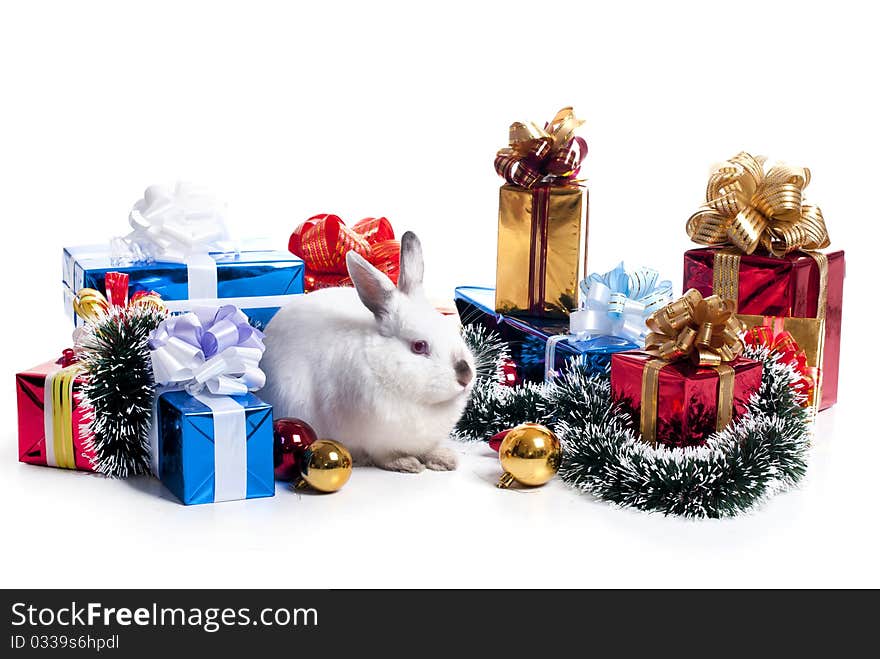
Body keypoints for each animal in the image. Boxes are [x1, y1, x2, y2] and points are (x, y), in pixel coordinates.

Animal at [262, 229, 474, 472]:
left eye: (452, 330)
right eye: (419, 346)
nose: (466, 375)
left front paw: (444, 459)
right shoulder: (377, 439)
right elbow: (386, 456)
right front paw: (407, 463)